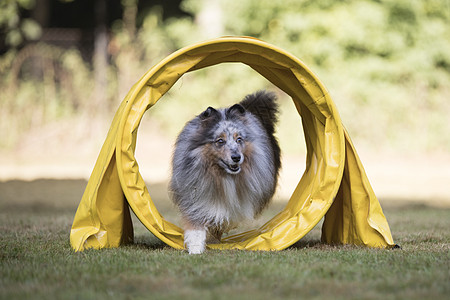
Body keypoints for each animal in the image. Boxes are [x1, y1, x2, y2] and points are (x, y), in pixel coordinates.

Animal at [170, 91, 280, 253]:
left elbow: (226, 215)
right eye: (220, 141)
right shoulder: (194, 194)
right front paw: (195, 249)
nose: (236, 157)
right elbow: (196, 224)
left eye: (239, 139)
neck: (222, 175)